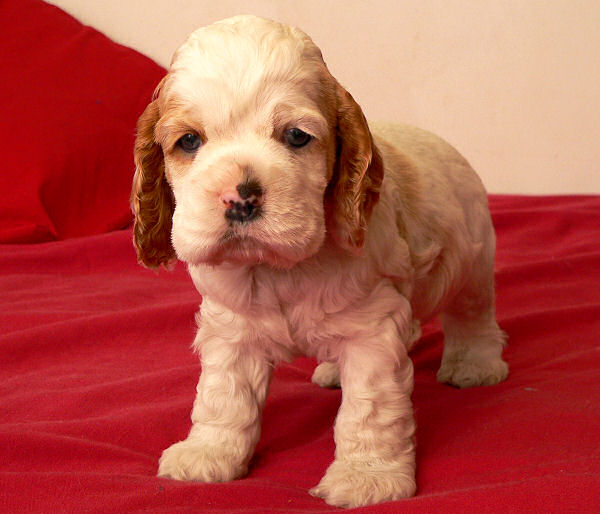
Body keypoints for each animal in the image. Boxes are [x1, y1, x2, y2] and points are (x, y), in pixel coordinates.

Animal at [130, 14, 506, 506]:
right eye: (189, 141)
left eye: (296, 136)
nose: (240, 198)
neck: (280, 268)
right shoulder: (231, 330)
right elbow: (223, 395)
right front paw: (207, 454)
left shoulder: (372, 329)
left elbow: (369, 410)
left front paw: (367, 478)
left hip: (473, 261)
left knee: (472, 316)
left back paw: (474, 366)